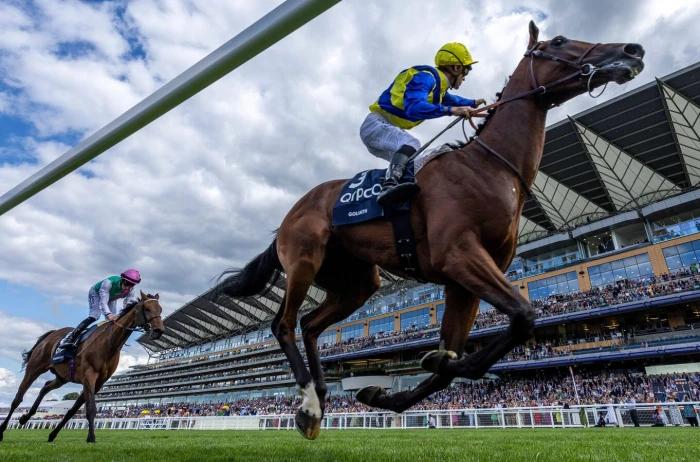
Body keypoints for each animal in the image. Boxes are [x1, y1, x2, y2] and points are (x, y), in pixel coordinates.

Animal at [0, 292, 163, 444]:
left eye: (160, 309)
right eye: (147, 308)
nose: (159, 331)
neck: (109, 343)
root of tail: (51, 334)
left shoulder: (99, 382)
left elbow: (72, 410)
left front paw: (52, 434)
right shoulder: (89, 375)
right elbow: (91, 408)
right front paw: (91, 437)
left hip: (62, 377)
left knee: (45, 387)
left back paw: (25, 417)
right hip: (35, 368)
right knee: (18, 399)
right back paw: (3, 430)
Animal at [217, 22, 644, 440]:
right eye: (558, 40)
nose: (632, 50)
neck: (490, 167)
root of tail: (287, 218)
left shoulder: (463, 281)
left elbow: (453, 360)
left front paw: (386, 391)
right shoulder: (458, 256)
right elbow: (522, 316)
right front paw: (431, 361)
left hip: (356, 282)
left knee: (309, 325)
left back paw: (320, 399)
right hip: (304, 258)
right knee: (284, 324)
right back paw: (307, 405)